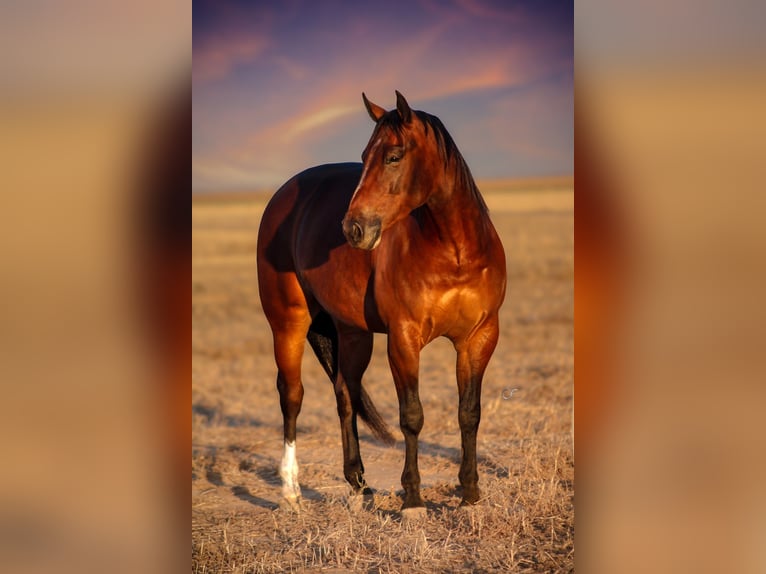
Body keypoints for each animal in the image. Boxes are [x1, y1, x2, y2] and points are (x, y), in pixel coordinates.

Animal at [256, 91, 506, 517]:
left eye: (393, 156)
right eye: (363, 156)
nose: (353, 228)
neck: (455, 252)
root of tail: (283, 194)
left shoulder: (480, 337)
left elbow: (469, 413)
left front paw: (470, 493)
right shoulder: (403, 339)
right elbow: (412, 416)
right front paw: (413, 501)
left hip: (352, 332)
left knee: (345, 393)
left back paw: (359, 484)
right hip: (288, 322)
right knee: (291, 395)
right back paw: (291, 491)